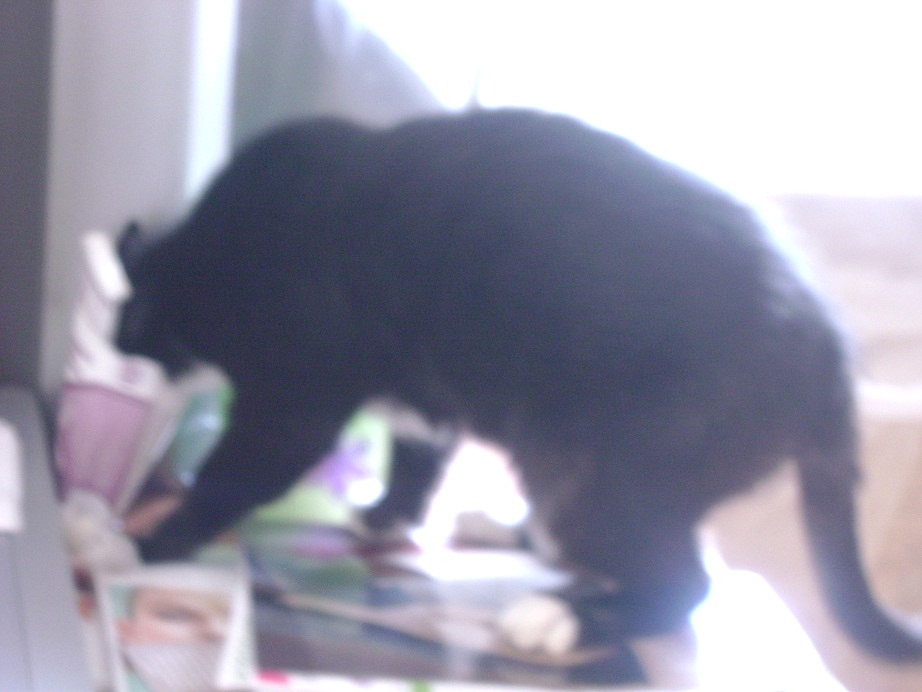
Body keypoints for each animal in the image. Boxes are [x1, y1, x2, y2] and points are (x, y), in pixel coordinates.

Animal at [115, 107, 922, 661]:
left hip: (600, 472)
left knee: (685, 584)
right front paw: (388, 515)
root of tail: (827, 354)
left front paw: (146, 542)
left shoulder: (293, 391)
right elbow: (420, 449)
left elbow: (239, 470)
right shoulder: (424, 389)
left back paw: (563, 616)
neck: (212, 253)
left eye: (130, 346)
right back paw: (507, 531)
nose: (121, 364)